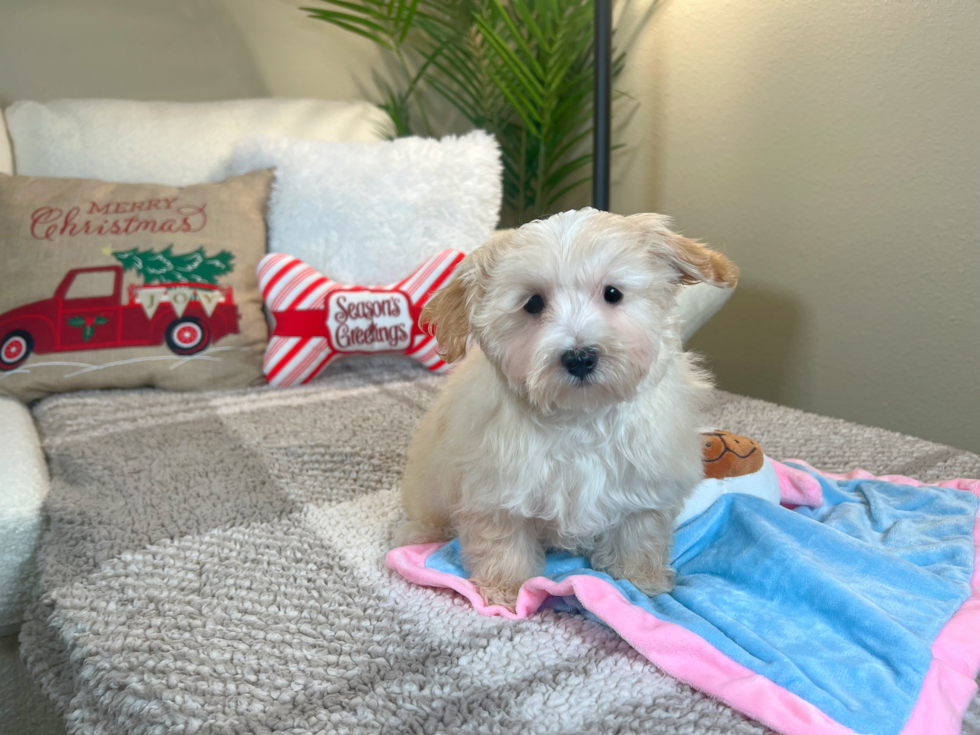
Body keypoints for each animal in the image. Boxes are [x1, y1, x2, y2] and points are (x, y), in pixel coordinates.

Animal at [394, 208, 740, 608]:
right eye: (533, 303)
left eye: (612, 294)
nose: (579, 358)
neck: (581, 416)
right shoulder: (496, 487)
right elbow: (502, 541)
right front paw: (506, 589)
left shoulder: (646, 478)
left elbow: (639, 532)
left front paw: (640, 580)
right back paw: (421, 534)